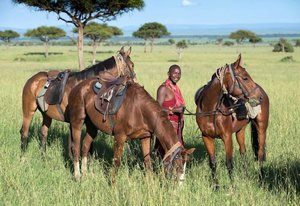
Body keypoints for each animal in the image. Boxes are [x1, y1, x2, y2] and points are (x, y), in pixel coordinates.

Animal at [67, 77, 196, 182]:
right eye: (177, 166)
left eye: (185, 166)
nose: (179, 186)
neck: (139, 109)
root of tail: (77, 87)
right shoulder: (119, 137)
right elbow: (116, 162)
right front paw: (113, 185)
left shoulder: (145, 137)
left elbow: (147, 162)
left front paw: (151, 185)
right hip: (77, 122)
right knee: (76, 147)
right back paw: (77, 176)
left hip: (92, 126)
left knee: (85, 145)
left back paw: (85, 174)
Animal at [195, 54, 270, 190]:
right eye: (245, 78)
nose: (259, 97)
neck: (211, 110)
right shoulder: (206, 137)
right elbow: (212, 163)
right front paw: (216, 187)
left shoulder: (227, 137)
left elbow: (229, 163)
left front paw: (233, 188)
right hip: (240, 130)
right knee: (243, 152)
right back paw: (246, 176)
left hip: (261, 127)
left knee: (261, 154)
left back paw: (261, 180)